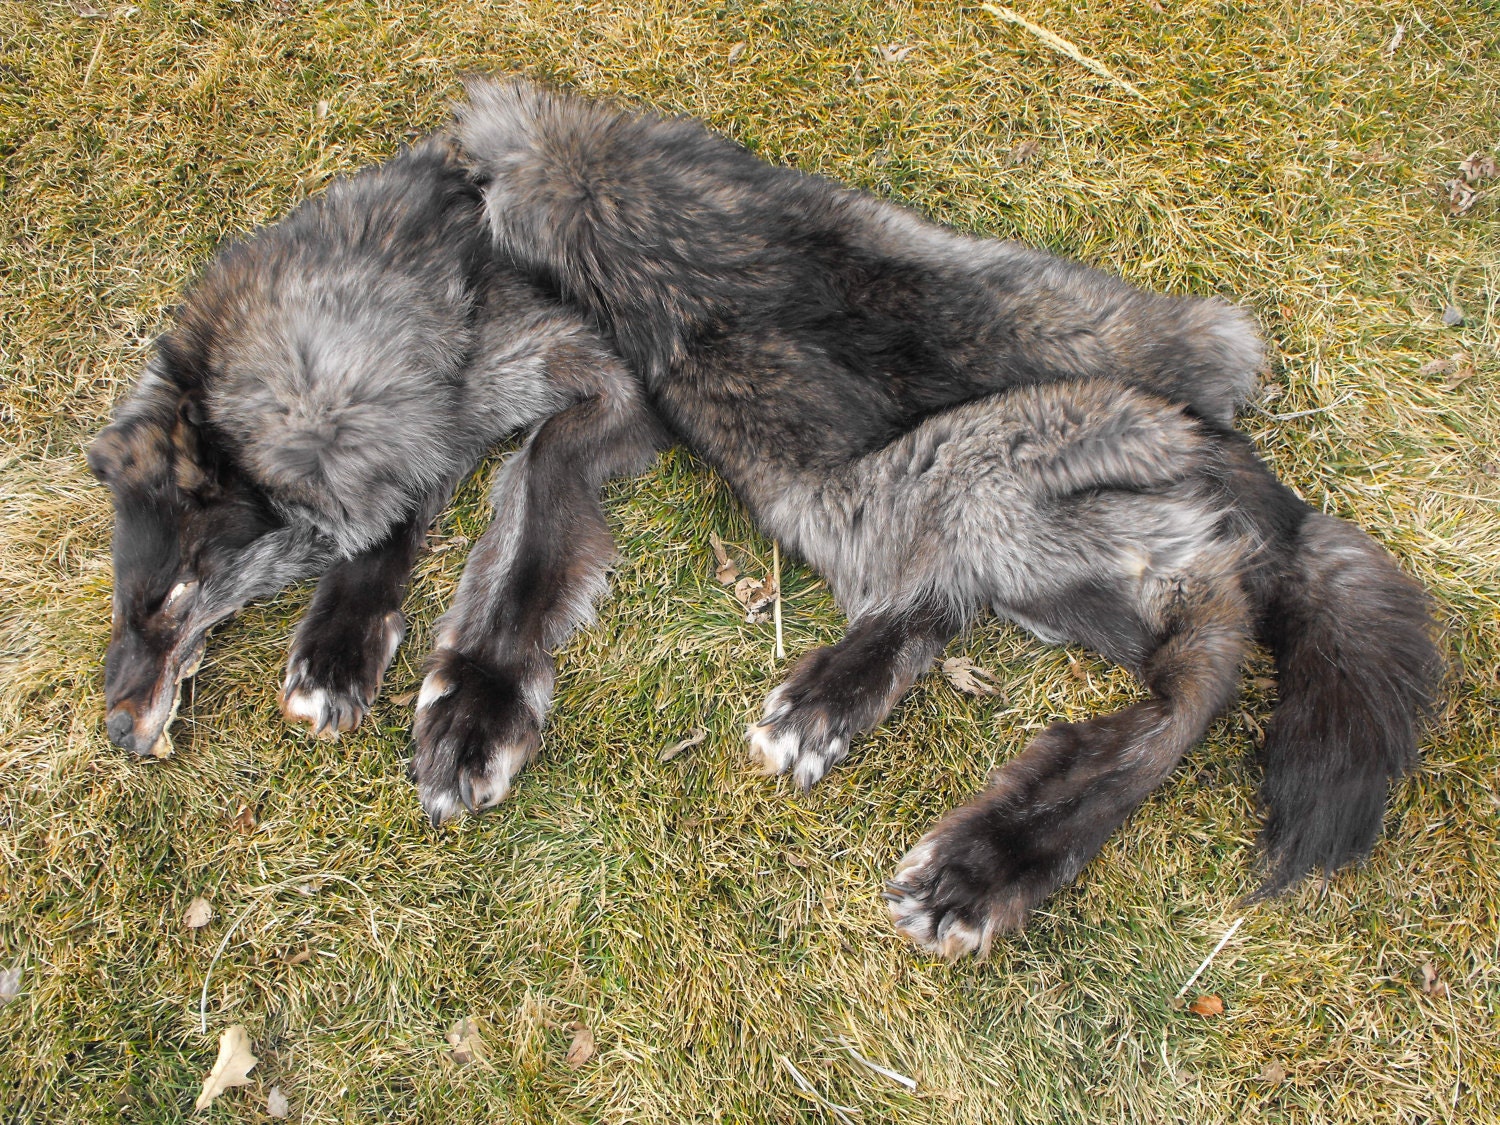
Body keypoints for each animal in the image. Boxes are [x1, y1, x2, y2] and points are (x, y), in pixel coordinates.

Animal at [87, 136, 663, 763]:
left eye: (178, 593)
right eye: (120, 600)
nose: (118, 730)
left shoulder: (608, 383)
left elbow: (534, 501)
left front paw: (480, 701)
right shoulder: (426, 439)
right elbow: (384, 527)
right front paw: (335, 661)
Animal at [426, 78, 1445, 957]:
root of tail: (1231, 471)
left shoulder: (614, 387)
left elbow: (531, 519)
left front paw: (475, 703)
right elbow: (532, 525)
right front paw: (479, 703)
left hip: (987, 489)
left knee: (1187, 685)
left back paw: (970, 861)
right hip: (1083, 484)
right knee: (1072, 640)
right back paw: (844, 724)